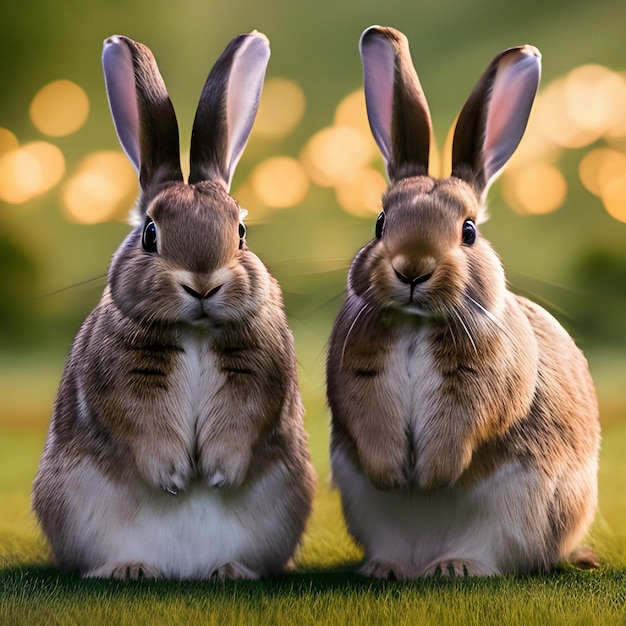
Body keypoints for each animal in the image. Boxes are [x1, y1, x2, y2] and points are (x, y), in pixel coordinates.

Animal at [31, 31, 314, 580]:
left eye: (241, 231)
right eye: (149, 234)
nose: (203, 285)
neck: (196, 329)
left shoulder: (257, 380)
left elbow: (243, 420)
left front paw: (218, 474)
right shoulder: (125, 387)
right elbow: (142, 423)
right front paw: (175, 478)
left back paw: (228, 572)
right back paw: (130, 570)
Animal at [324, 25, 596, 580]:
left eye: (468, 231)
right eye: (380, 223)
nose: (412, 268)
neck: (414, 323)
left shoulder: (478, 390)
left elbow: (462, 430)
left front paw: (430, 478)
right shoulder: (358, 384)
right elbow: (370, 424)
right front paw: (394, 476)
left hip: (518, 512)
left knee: (492, 551)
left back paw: (454, 567)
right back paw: (386, 569)